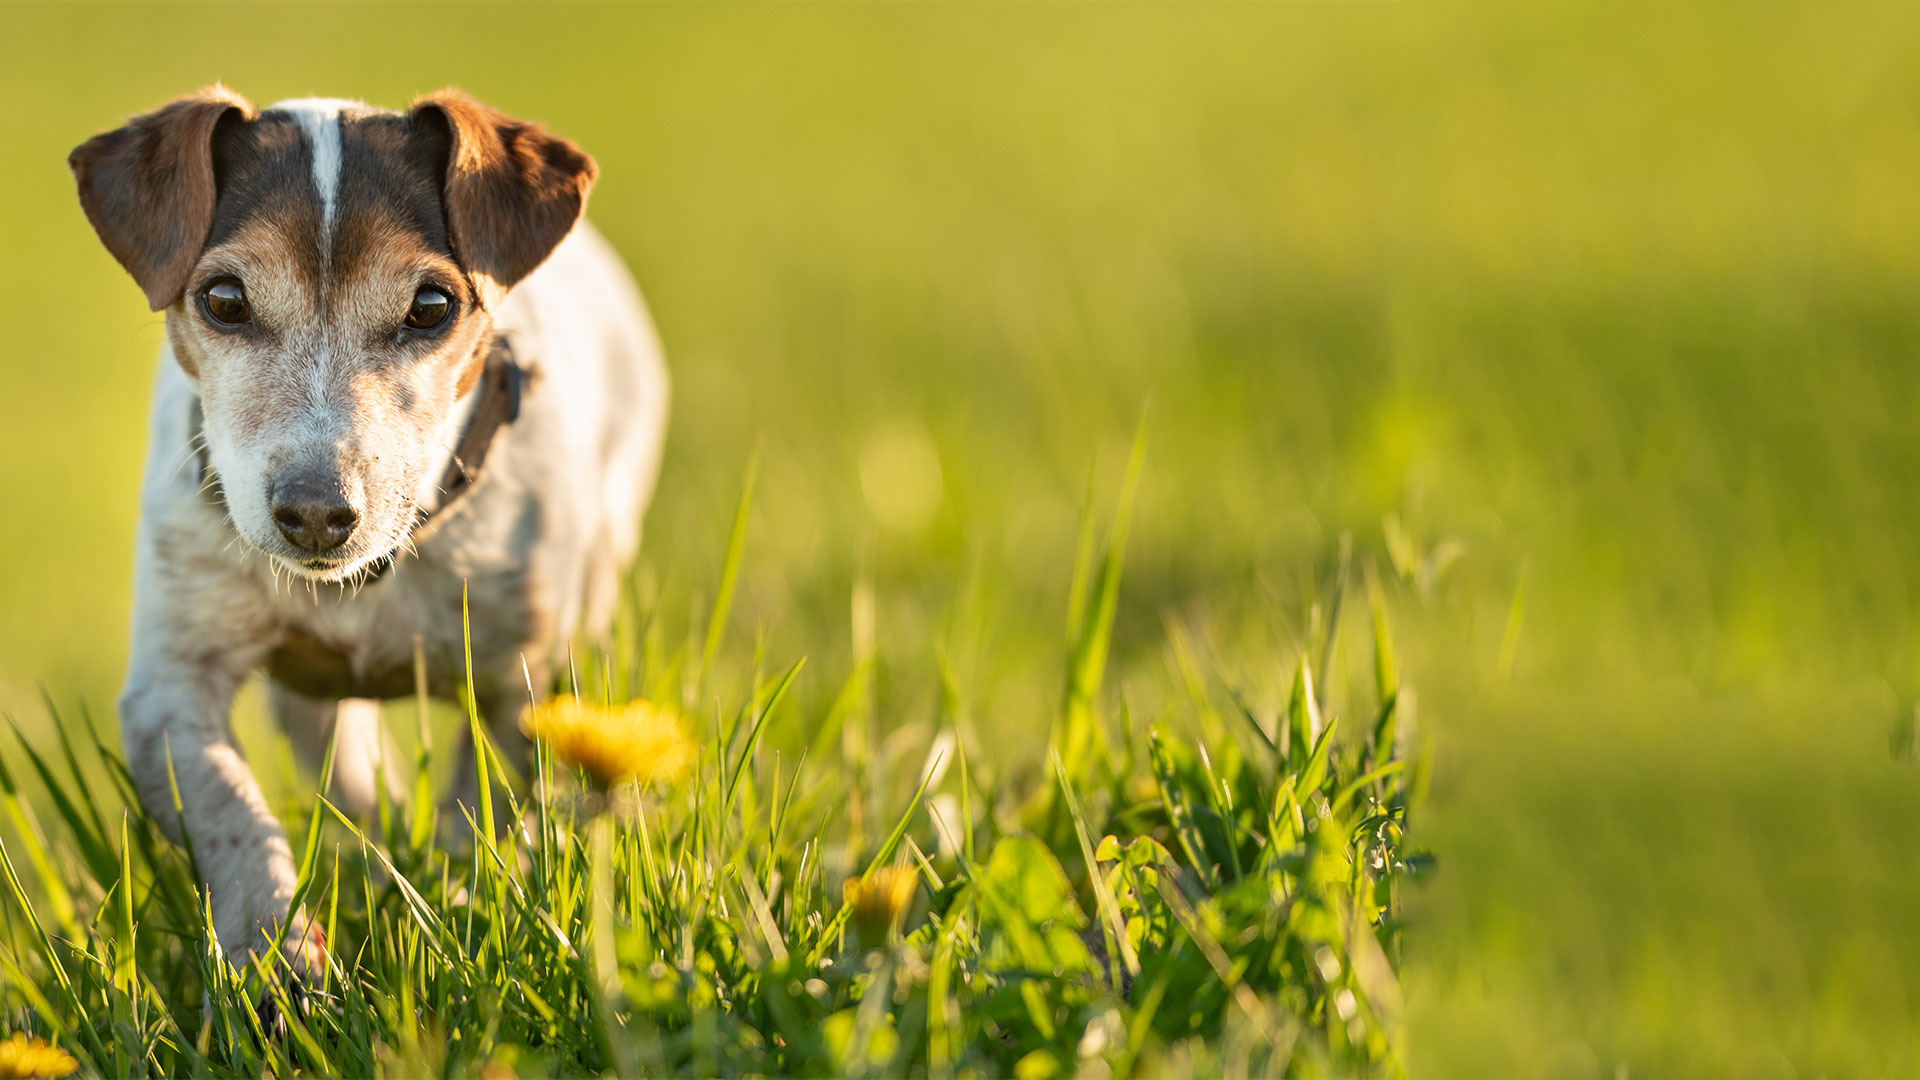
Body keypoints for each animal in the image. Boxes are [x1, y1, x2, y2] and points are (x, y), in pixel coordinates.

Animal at [69, 88, 668, 972]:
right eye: (223, 300)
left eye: (432, 306)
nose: (317, 511)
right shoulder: (171, 689)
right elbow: (234, 815)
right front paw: (277, 958)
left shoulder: (522, 684)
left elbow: (483, 815)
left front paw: (457, 910)